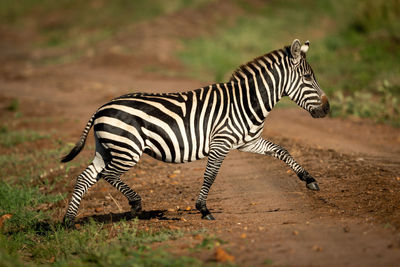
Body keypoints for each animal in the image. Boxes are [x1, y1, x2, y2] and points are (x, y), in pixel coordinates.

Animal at [61, 39, 332, 227]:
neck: (247, 101)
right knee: (108, 174)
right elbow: (210, 175)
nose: (327, 109)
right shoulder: (221, 142)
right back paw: (136, 203)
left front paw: (309, 179)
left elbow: (282, 151)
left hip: (107, 148)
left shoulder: (248, 141)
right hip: (127, 149)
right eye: (307, 77)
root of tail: (101, 108)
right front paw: (203, 209)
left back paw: (68, 221)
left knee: (86, 177)